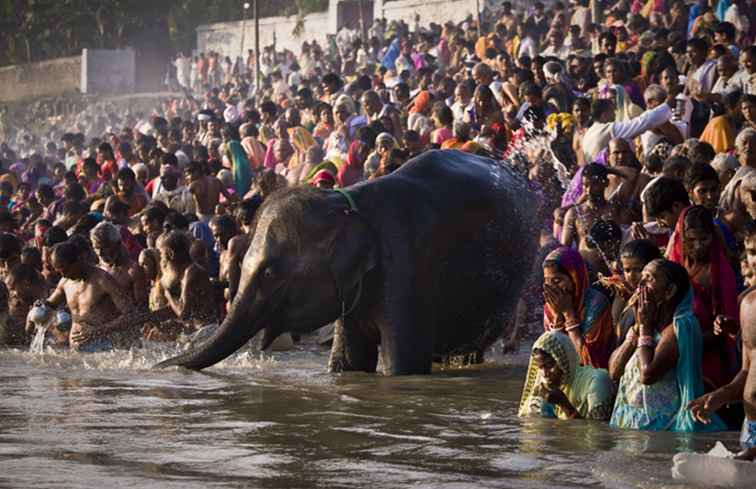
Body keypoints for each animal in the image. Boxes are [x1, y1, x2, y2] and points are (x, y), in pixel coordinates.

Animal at [157, 151, 540, 376]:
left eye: (270, 272)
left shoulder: (405, 265)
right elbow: (350, 363)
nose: (161, 366)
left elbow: (403, 364)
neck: (345, 204)